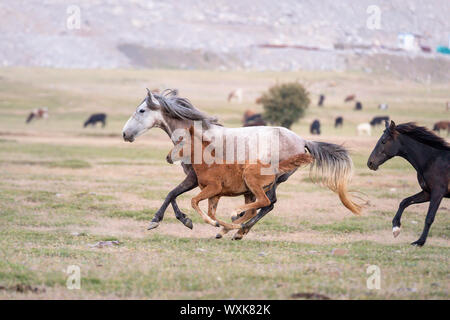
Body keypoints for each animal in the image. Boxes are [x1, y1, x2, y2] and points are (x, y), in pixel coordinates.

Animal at [166, 125, 312, 232]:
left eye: (181, 142)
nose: (168, 157)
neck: (208, 165)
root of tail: (273, 166)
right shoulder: (215, 195)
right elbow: (211, 213)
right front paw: (221, 225)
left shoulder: (214, 188)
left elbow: (194, 201)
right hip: (249, 192)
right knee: (253, 210)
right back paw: (234, 228)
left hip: (251, 181)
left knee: (264, 201)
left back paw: (235, 213)